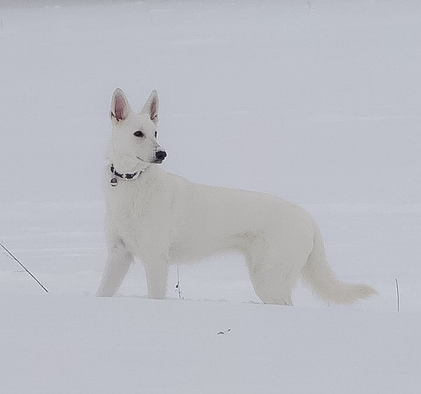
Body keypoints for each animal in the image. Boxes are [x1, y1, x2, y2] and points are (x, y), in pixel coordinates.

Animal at [97, 88, 376, 304]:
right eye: (138, 134)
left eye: (155, 133)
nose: (162, 154)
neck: (131, 182)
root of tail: (308, 218)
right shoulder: (118, 255)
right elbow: (103, 292)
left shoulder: (156, 260)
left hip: (268, 278)